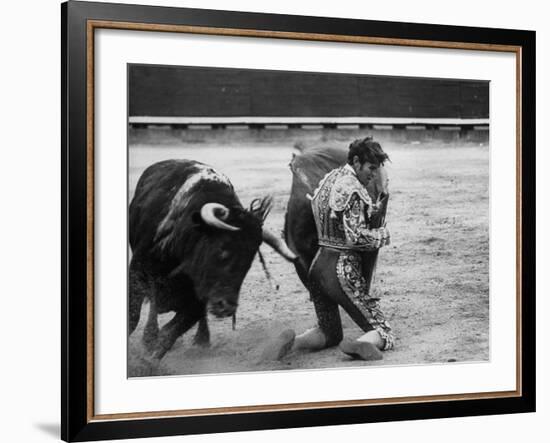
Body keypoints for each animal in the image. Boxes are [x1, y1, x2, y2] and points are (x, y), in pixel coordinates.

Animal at [129, 161, 298, 362]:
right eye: (223, 250)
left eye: (249, 261)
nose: (227, 308)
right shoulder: (137, 273)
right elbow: (133, 318)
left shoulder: (199, 299)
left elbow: (170, 334)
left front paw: (149, 362)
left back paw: (201, 340)